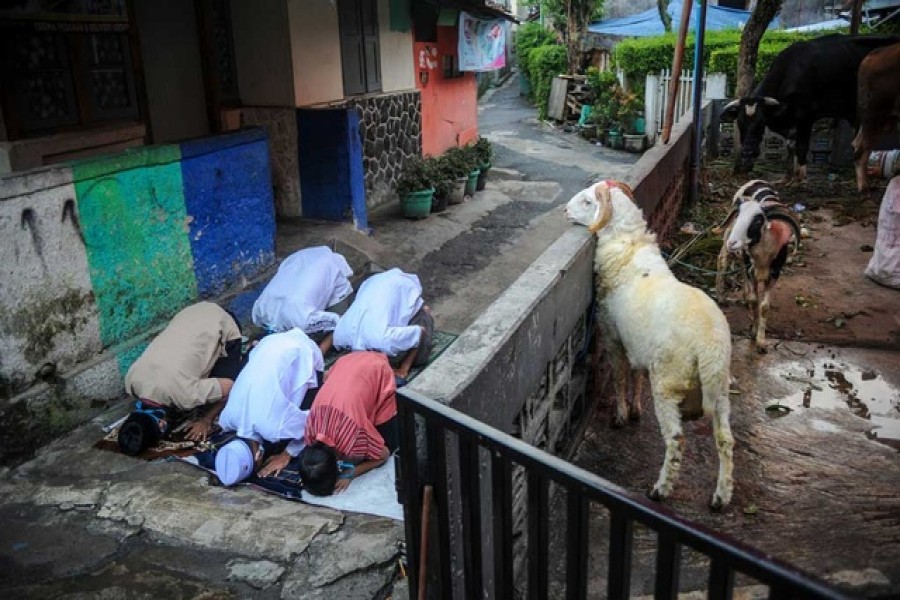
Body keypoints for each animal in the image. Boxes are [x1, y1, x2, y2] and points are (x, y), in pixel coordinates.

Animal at [568, 180, 736, 508]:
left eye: (586, 201)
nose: (565, 210)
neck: (628, 247)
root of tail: (708, 345)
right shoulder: (637, 343)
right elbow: (636, 375)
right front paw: (635, 408)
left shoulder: (613, 335)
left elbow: (619, 376)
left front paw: (621, 415)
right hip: (720, 388)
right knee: (725, 440)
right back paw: (721, 496)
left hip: (668, 382)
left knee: (676, 439)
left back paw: (660, 489)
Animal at [720, 34, 896, 180]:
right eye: (740, 122)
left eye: (761, 122)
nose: (748, 151)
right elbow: (791, 145)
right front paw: (788, 177)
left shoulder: (806, 115)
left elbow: (801, 146)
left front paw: (800, 178)